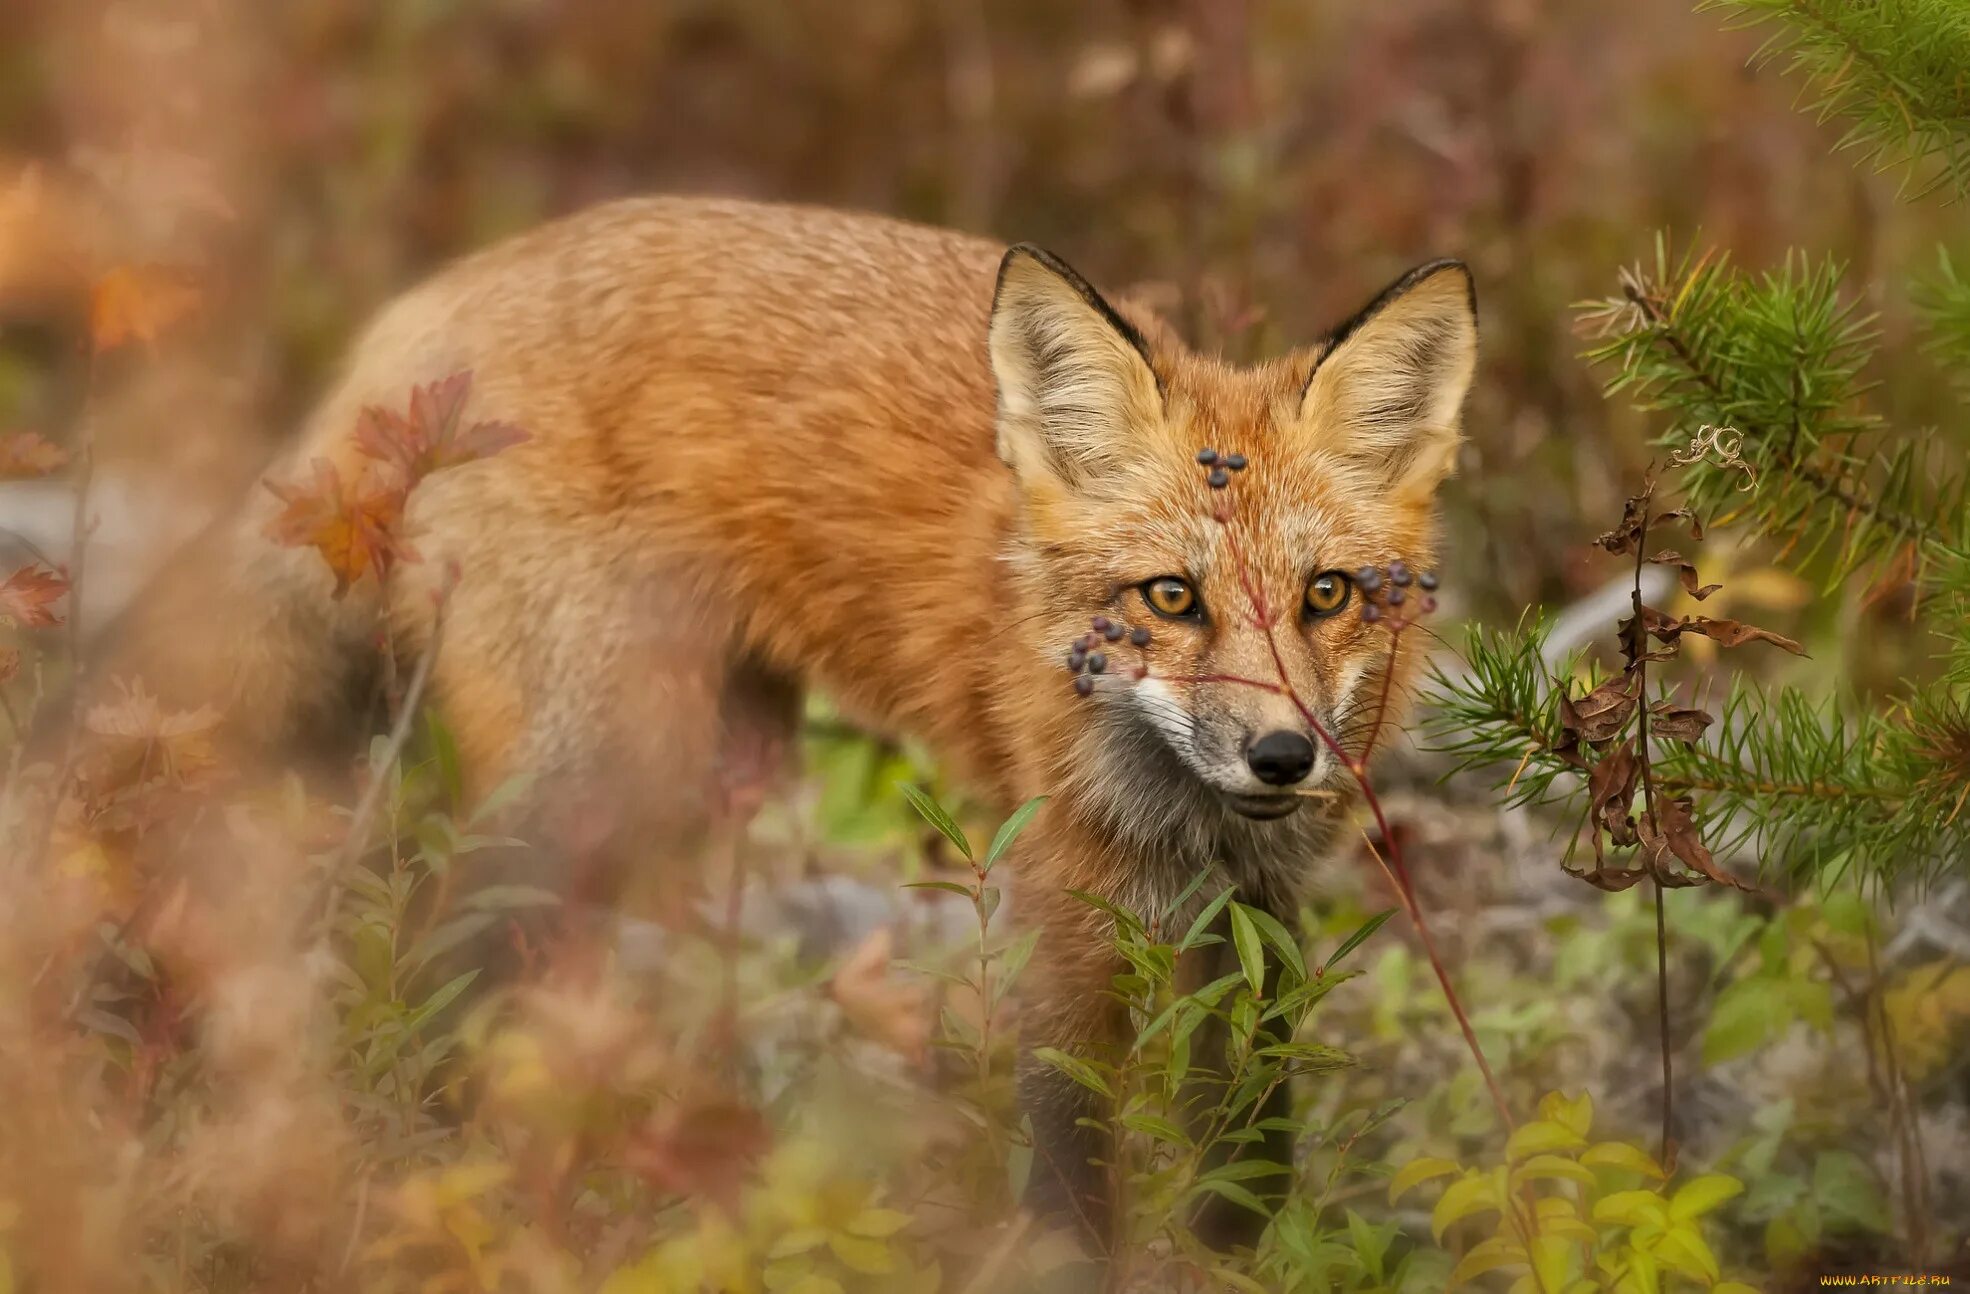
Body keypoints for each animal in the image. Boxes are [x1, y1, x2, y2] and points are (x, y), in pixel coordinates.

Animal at [88, 194, 1481, 1252]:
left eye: (1324, 595)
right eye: (1170, 598)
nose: (1282, 757)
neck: (1178, 819)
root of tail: (428, 308)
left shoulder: (1254, 914)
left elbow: (1243, 1168)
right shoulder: (1064, 906)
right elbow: (1069, 1171)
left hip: (703, 766)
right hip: (608, 773)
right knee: (422, 972)